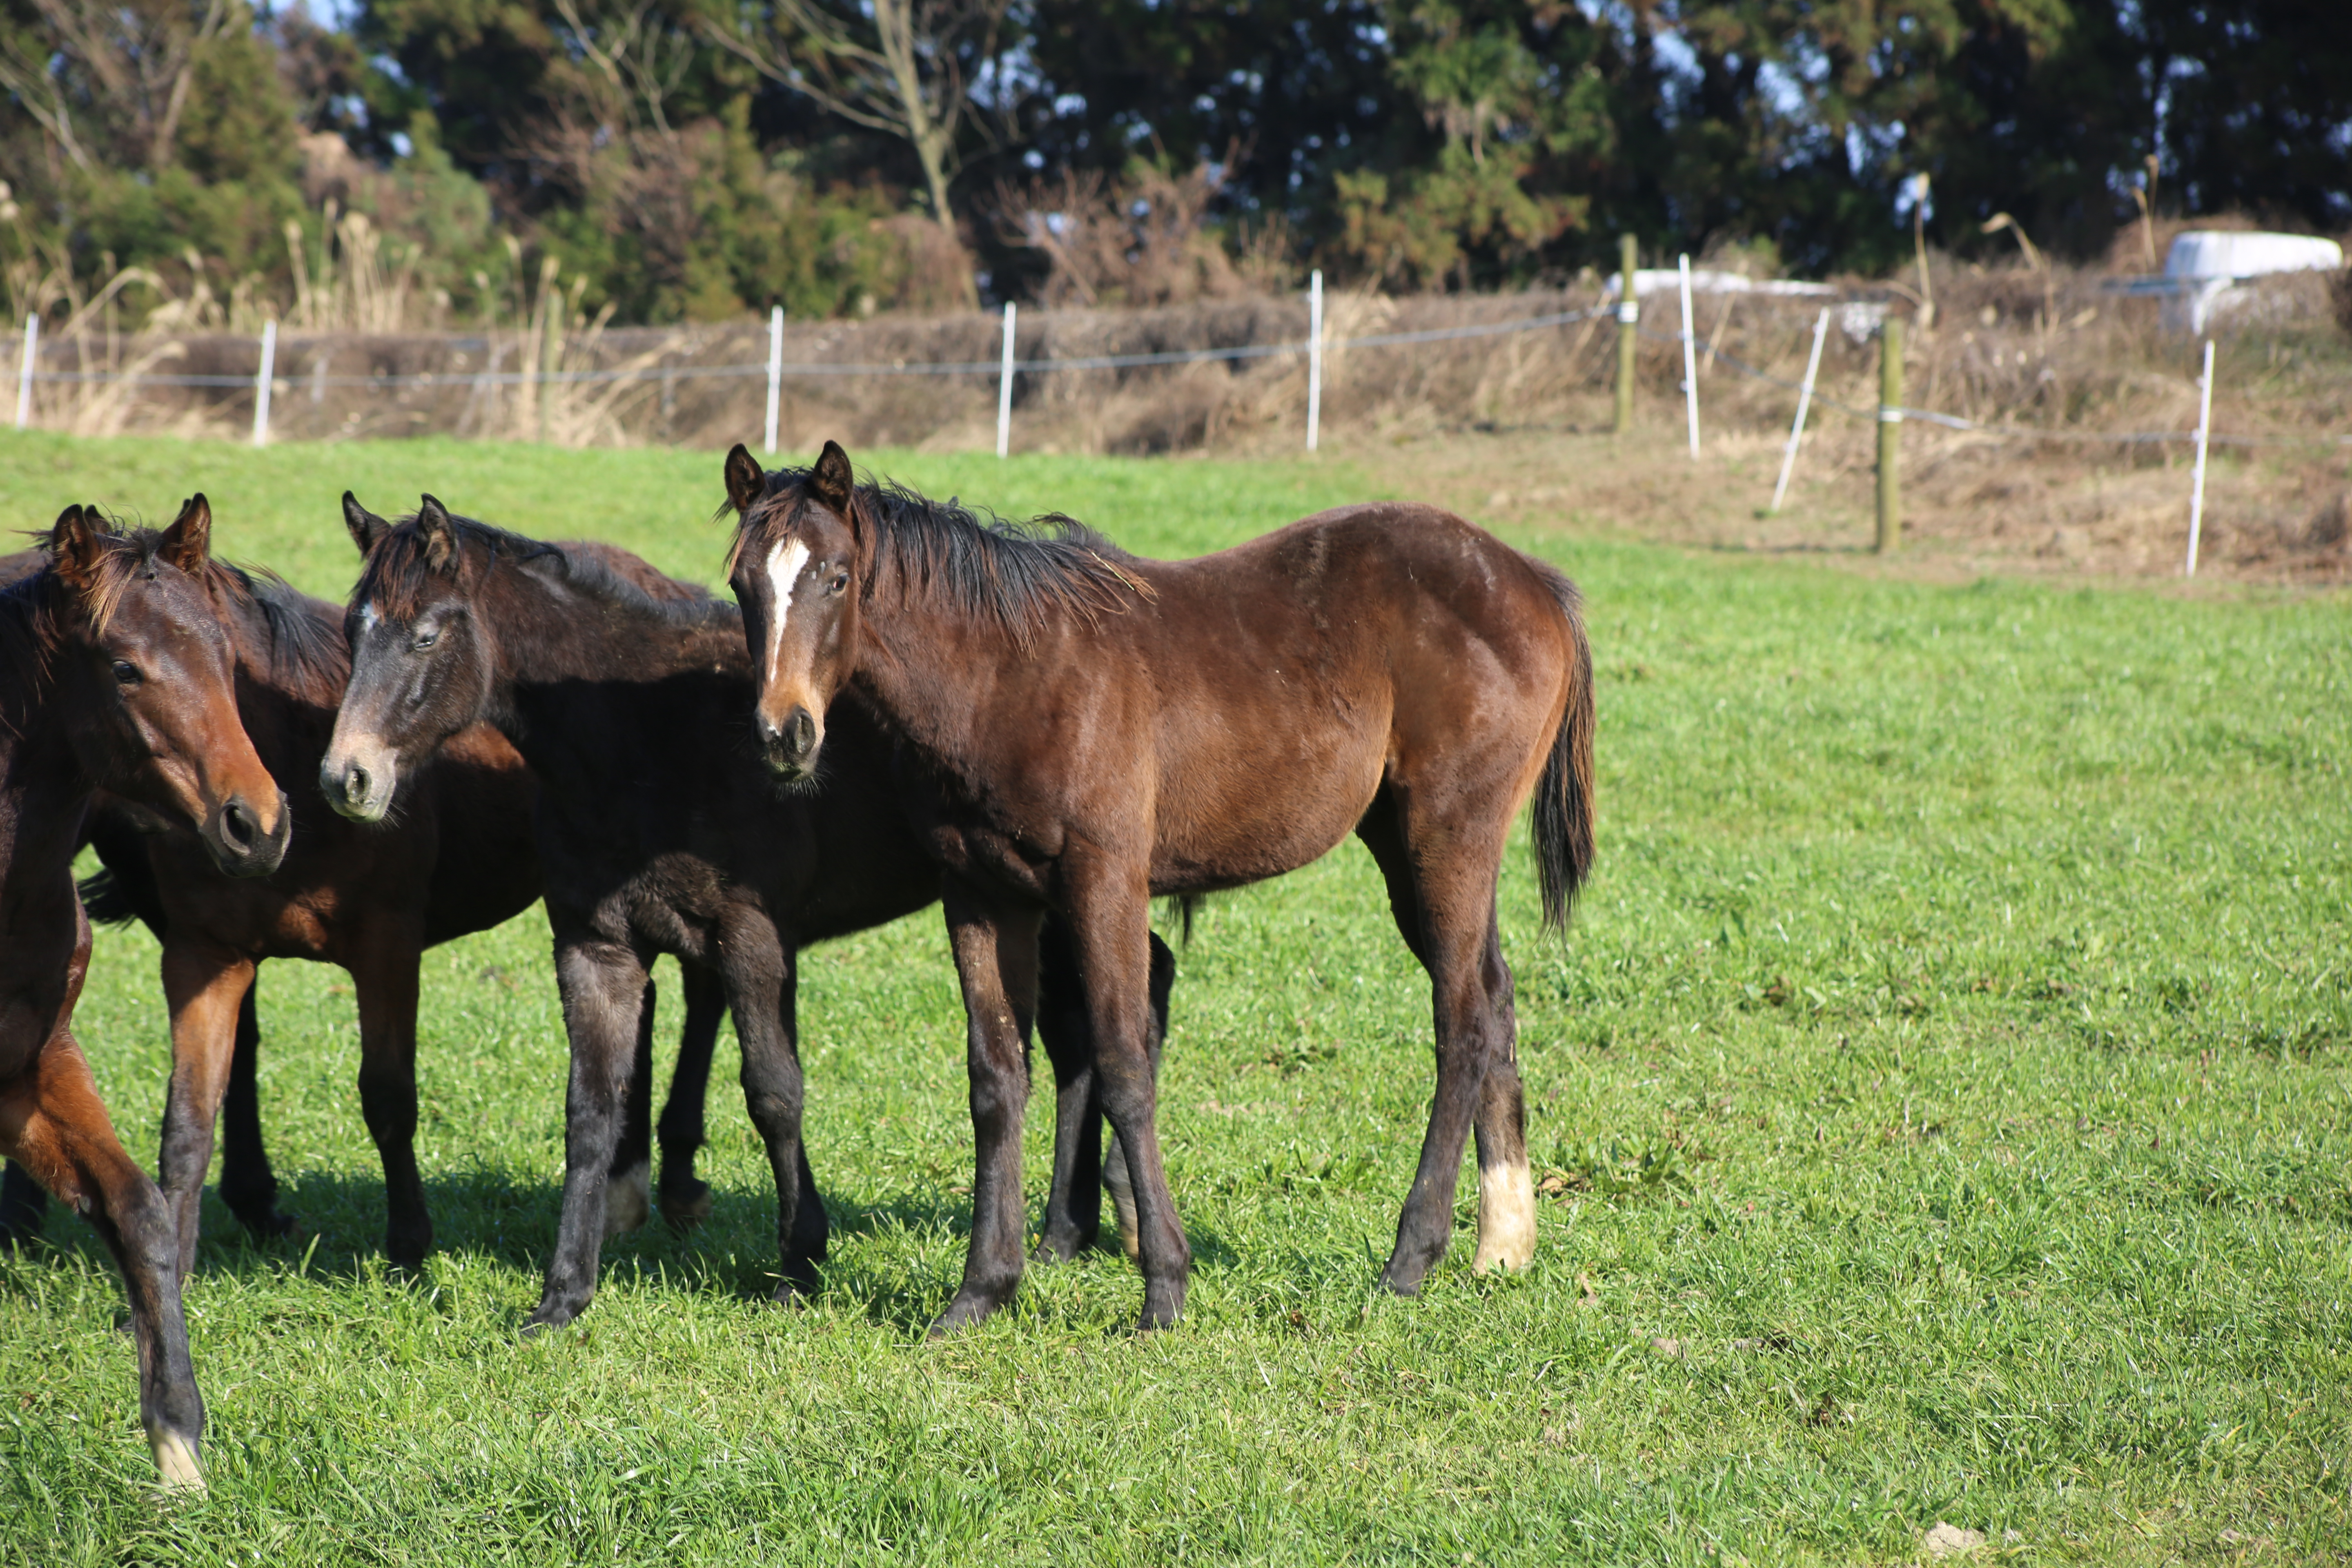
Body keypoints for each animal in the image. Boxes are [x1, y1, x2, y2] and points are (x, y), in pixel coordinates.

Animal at [0, 514, 715, 1278]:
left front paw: (408, 1248)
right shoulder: (207, 957)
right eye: (122, 670)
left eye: (223, 663)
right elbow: (190, 1117)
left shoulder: (387, 949)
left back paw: (675, 1181)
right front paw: (180, 1264)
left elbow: (388, 1098)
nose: (252, 826)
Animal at [1, 501, 294, 1486]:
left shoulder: (32, 1066)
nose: (258, 824)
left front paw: (178, 1446)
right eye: (125, 667)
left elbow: (141, 1213)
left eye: (227, 659)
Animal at [322, 496, 1176, 1335]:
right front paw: (563, 1297)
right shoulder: (596, 949)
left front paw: (800, 1261)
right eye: (352, 631)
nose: (346, 779)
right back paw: (1071, 1229)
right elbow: (590, 1110)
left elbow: (773, 1093)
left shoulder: (752, 938)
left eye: (426, 635)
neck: (648, 741)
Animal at [719, 442, 1599, 1335]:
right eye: (743, 584)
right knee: (1493, 995)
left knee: (1461, 1023)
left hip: (1446, 836)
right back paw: (1503, 1244)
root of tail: (1530, 579)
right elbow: (996, 1079)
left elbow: (1122, 1064)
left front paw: (1164, 1289)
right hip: (1405, 846)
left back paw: (1409, 1260)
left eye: (836, 577)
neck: (1010, 678)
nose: (785, 735)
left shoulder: (1105, 880)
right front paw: (980, 1293)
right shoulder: (980, 894)